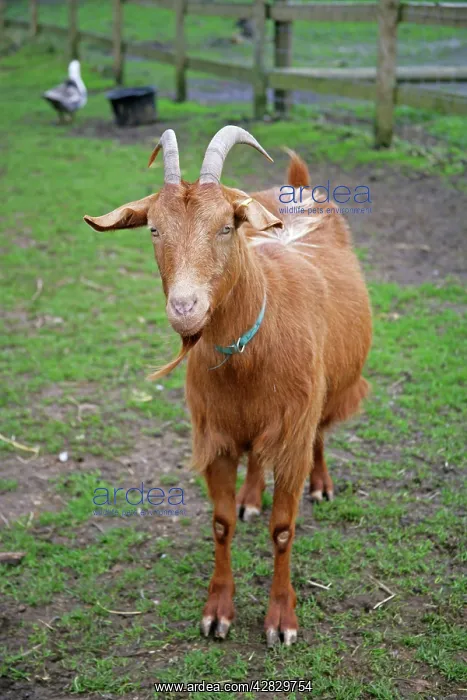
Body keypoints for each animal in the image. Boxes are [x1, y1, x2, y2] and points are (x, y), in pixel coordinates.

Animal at [84, 126, 372, 646]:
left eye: (226, 227)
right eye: (154, 228)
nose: (185, 308)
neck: (250, 357)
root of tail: (298, 185)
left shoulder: (293, 433)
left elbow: (284, 529)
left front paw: (281, 619)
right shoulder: (215, 435)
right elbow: (219, 524)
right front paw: (217, 612)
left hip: (334, 388)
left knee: (322, 430)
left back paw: (321, 484)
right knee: (256, 456)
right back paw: (250, 497)